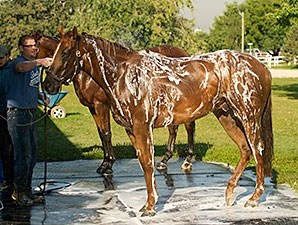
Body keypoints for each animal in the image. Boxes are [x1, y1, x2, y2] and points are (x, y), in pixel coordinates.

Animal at [33, 33, 196, 174]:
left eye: (65, 53)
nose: (48, 85)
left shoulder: (101, 105)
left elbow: (106, 134)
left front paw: (108, 164)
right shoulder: (93, 108)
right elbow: (101, 133)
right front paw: (105, 162)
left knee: (188, 127)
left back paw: (187, 161)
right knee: (173, 129)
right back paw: (164, 160)